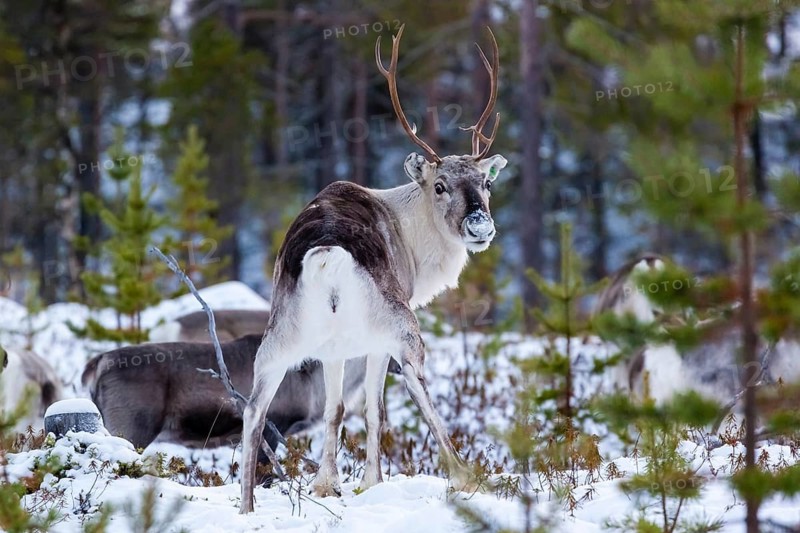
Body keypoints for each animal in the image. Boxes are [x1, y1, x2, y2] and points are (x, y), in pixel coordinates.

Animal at [239, 25, 506, 512]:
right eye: (440, 186)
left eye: (486, 183)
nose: (480, 226)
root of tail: (326, 255)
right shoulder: (372, 341)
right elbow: (372, 409)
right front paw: (370, 481)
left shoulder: (332, 347)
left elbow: (333, 410)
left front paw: (326, 484)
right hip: (396, 328)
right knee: (417, 390)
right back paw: (464, 475)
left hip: (280, 335)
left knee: (253, 409)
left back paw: (246, 507)